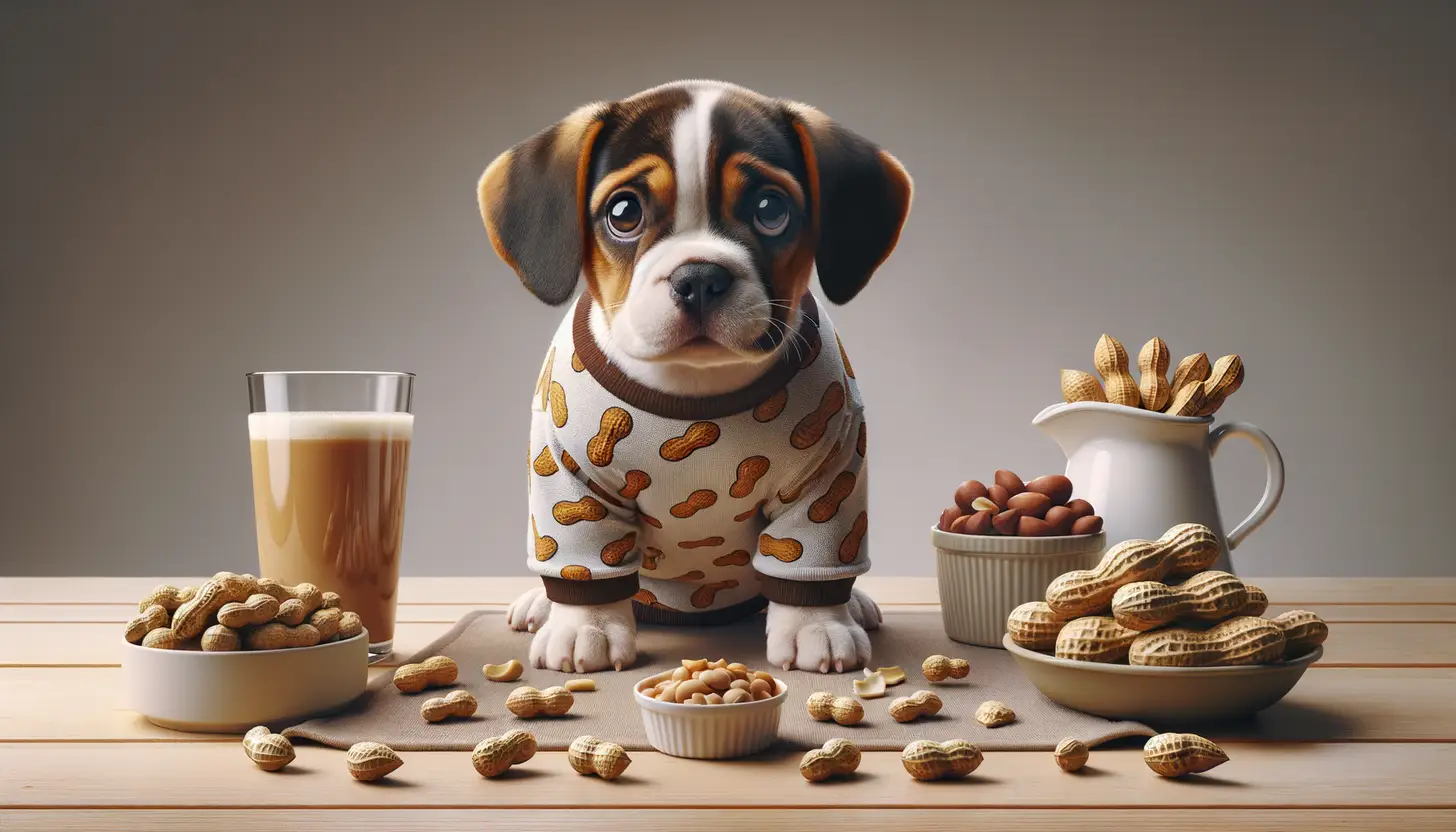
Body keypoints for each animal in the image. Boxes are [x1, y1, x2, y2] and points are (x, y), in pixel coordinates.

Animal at [477, 79, 908, 676]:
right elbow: (585, 563)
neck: (694, 390)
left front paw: (817, 625)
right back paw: (540, 604)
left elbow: (811, 559)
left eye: (770, 208)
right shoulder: (567, 477)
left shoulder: (829, 475)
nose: (700, 276)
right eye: (624, 212)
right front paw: (587, 626)